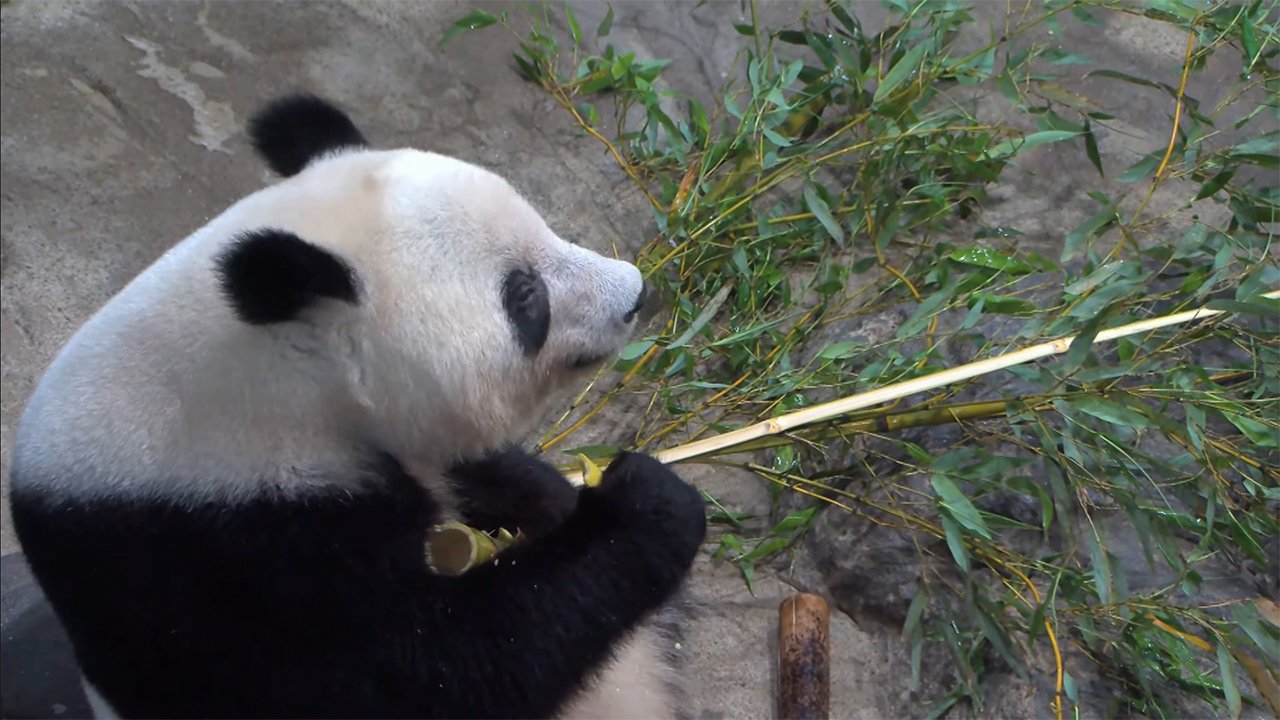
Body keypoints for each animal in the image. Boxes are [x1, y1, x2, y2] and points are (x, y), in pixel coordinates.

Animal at [10, 95, 706, 717]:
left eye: (546, 229)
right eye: (524, 296)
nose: (635, 295)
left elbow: (494, 476)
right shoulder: (231, 564)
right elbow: (437, 675)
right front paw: (645, 500)